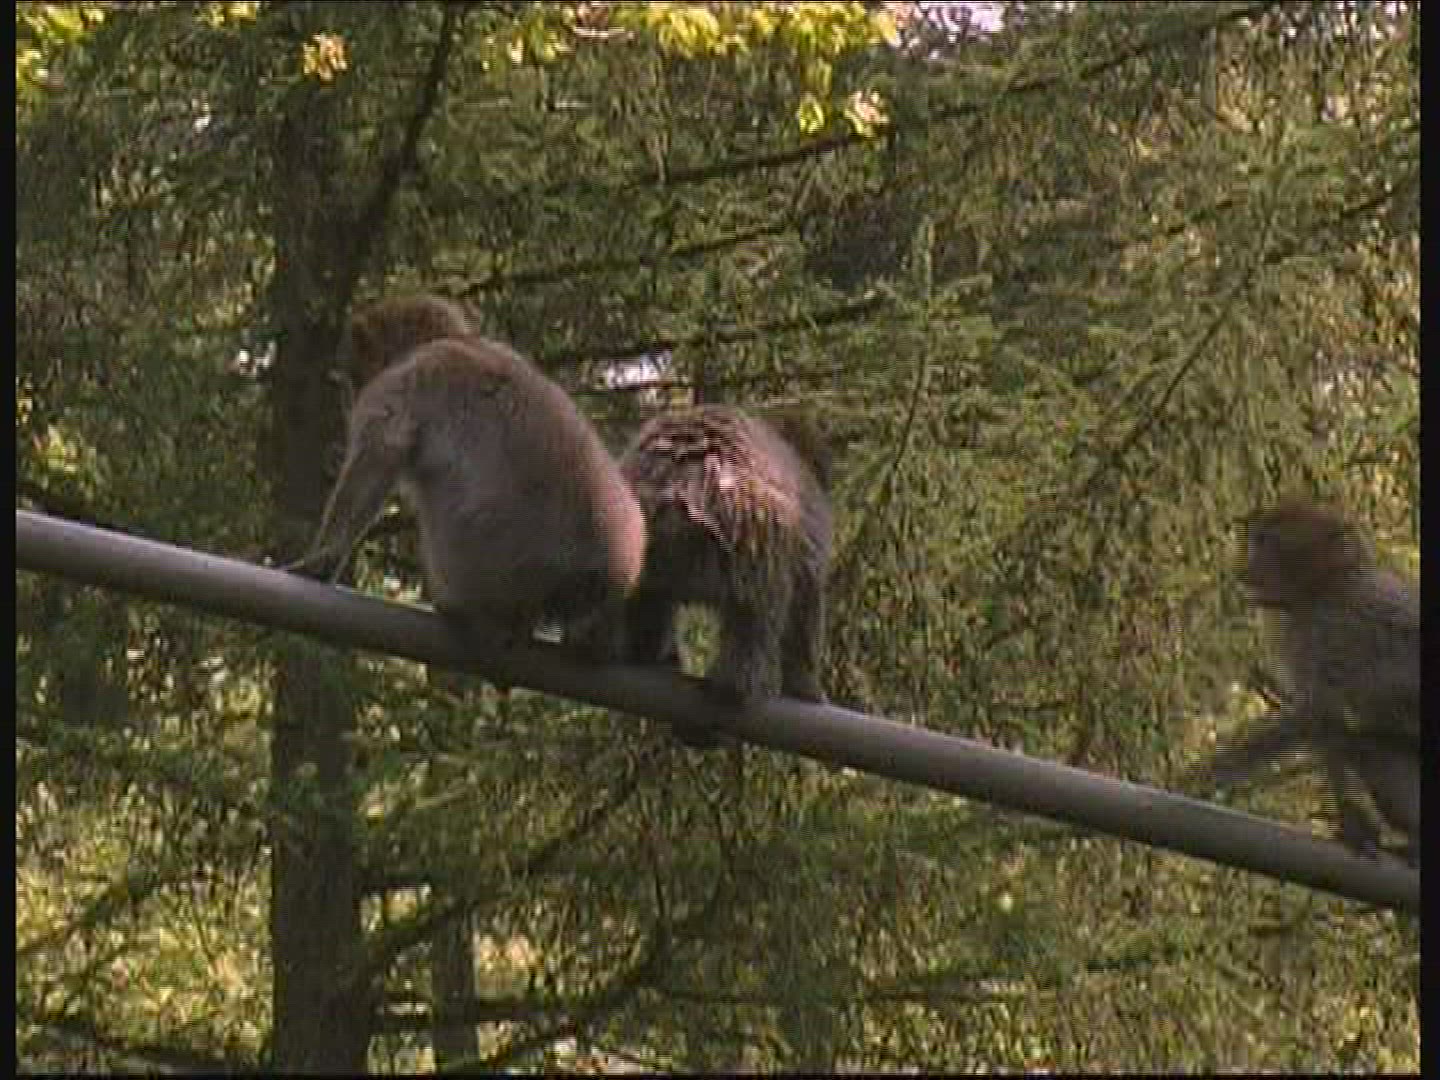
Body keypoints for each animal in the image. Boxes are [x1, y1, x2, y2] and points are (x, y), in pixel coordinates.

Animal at [290, 295, 646, 658]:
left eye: (351, 377)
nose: (347, 401)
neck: (454, 340)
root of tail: (598, 576)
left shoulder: (401, 380)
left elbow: (378, 456)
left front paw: (323, 558)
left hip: (486, 571)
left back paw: (456, 608)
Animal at [611, 404, 833, 744]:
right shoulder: (805, 559)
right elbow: (801, 620)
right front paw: (806, 688)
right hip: (754, 533)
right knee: (756, 614)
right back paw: (738, 685)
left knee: (647, 597)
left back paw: (644, 651)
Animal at [1192, 500, 1418, 859]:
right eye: (1256, 541)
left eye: (1267, 543)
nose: (1242, 570)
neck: (1327, 584)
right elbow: (1326, 727)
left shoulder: (1323, 630)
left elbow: (1316, 716)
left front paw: (1209, 772)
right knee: (1367, 744)